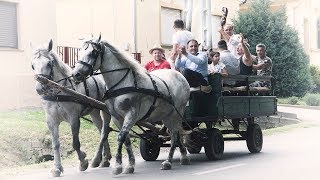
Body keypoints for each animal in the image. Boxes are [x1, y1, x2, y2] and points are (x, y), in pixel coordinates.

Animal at [31, 39, 111, 177]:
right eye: (32, 65)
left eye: (49, 63)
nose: (40, 88)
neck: (59, 92)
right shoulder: (51, 121)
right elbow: (55, 144)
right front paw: (57, 168)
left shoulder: (73, 118)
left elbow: (75, 143)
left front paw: (83, 162)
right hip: (94, 112)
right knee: (101, 129)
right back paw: (104, 158)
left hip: (106, 110)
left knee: (106, 129)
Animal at [72, 34, 191, 174]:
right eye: (80, 51)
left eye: (93, 52)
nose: (75, 74)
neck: (122, 82)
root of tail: (180, 76)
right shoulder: (117, 117)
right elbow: (126, 139)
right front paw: (130, 165)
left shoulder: (131, 114)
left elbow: (120, 137)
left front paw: (118, 166)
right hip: (167, 116)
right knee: (175, 134)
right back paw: (183, 156)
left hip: (177, 113)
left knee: (174, 134)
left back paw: (169, 161)